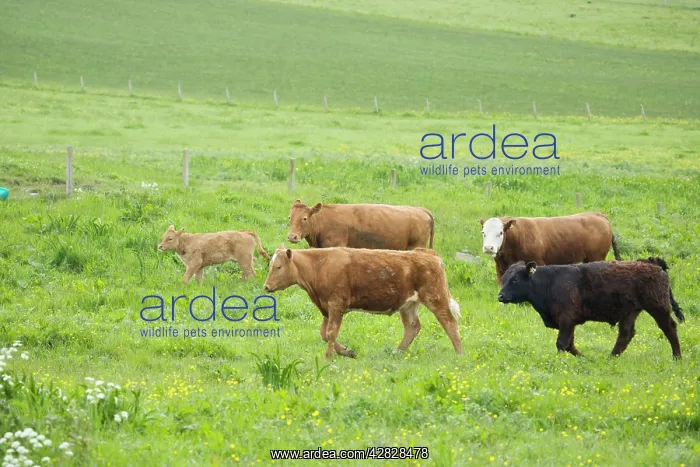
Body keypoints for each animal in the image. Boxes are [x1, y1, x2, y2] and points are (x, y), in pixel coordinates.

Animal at [263, 244, 463, 359]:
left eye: (278, 267)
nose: (266, 286)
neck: (319, 265)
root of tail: (427, 253)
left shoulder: (336, 304)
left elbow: (331, 332)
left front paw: (329, 356)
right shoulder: (326, 307)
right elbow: (324, 333)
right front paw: (346, 352)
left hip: (435, 298)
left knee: (450, 323)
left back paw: (459, 354)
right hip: (408, 305)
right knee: (412, 327)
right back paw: (397, 352)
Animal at [480, 212, 621, 284]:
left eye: (500, 233)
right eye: (483, 232)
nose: (488, 247)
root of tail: (597, 214)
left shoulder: (538, 263)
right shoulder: (500, 269)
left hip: (597, 257)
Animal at [497, 258, 685, 359]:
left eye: (515, 280)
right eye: (504, 278)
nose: (501, 296)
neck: (549, 282)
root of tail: (653, 264)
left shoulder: (566, 320)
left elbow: (562, 343)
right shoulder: (568, 322)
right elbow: (570, 345)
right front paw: (585, 358)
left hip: (658, 308)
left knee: (669, 328)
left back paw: (677, 357)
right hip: (630, 312)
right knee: (625, 335)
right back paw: (610, 358)